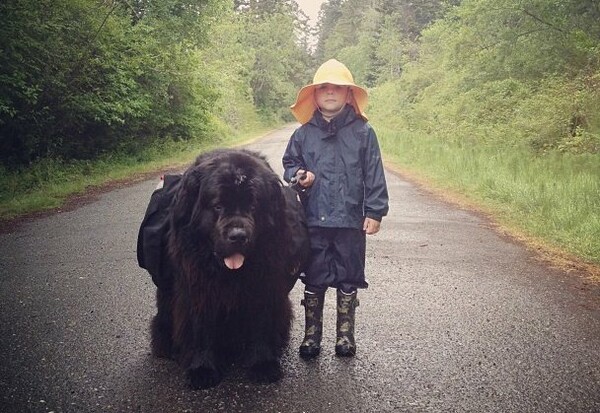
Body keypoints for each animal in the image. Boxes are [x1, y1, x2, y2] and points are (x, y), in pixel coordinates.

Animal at [142, 149, 310, 390]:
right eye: (218, 206)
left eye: (253, 206)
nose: (238, 236)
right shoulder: (198, 287)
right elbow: (200, 328)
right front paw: (202, 369)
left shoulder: (264, 285)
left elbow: (261, 324)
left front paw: (263, 365)